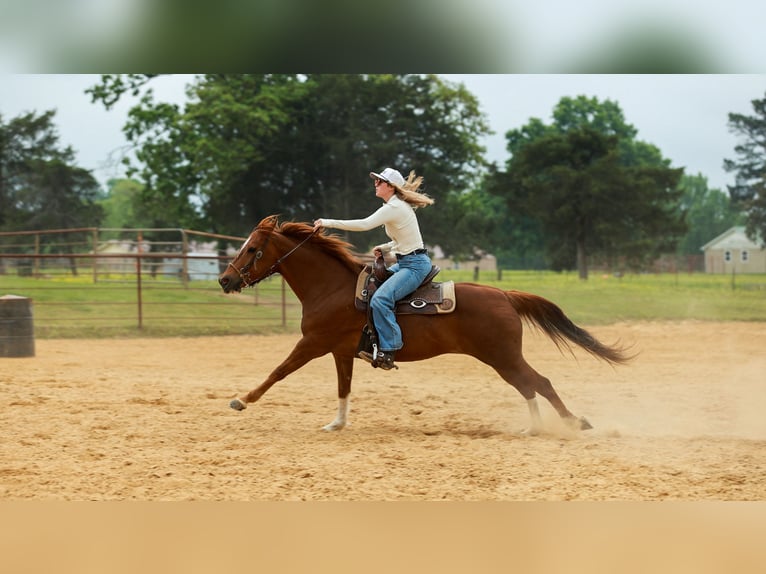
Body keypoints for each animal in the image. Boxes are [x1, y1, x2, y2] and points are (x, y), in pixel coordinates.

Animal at [218, 215, 632, 435]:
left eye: (252, 248)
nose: (225, 280)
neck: (332, 288)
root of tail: (505, 295)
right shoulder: (340, 352)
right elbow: (343, 388)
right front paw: (336, 424)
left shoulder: (313, 343)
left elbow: (278, 372)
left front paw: (242, 399)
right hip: (501, 357)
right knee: (529, 385)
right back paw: (535, 427)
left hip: (501, 355)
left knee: (538, 382)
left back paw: (573, 422)